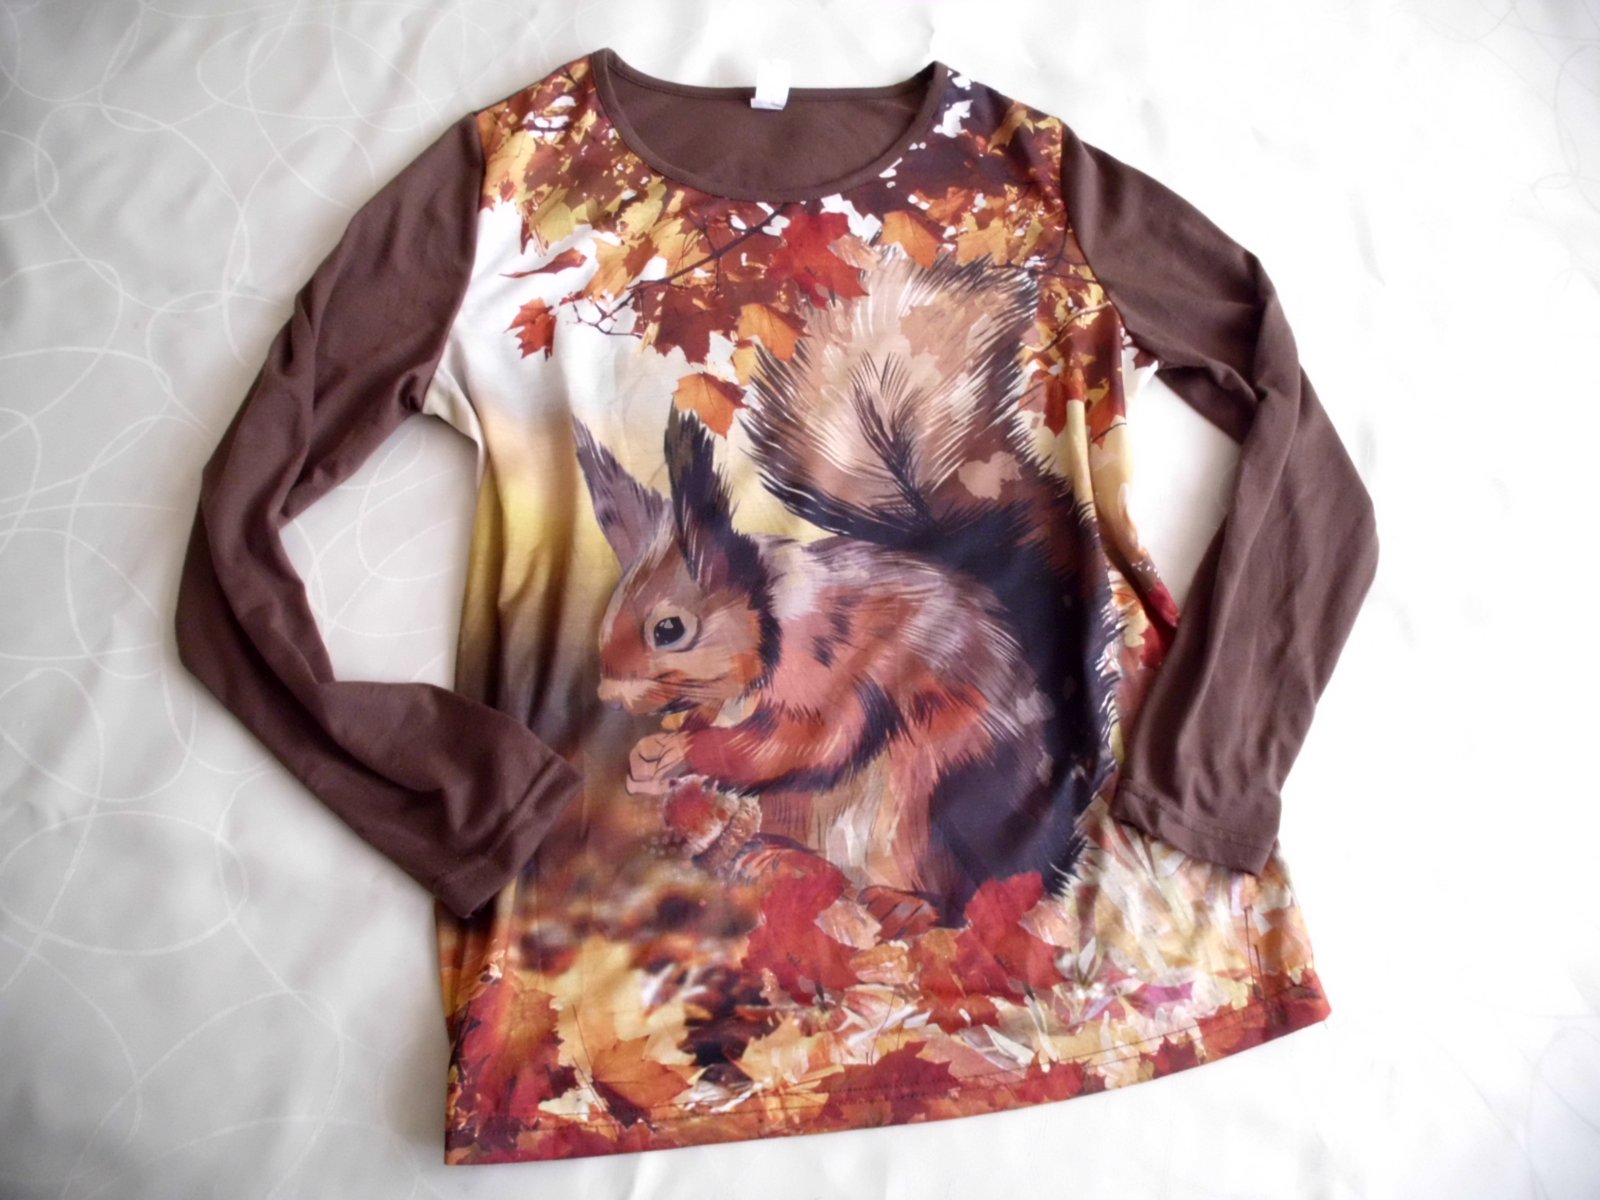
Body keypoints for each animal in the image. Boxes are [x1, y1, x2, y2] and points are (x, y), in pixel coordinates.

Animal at [571, 246, 1124, 930]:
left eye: (669, 629)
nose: (609, 696)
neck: (771, 615)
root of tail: (1042, 860)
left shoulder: (831, 669)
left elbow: (800, 742)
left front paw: (684, 754)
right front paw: (647, 760)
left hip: (934, 797)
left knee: (957, 899)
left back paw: (907, 904)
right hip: (806, 809)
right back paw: (779, 858)